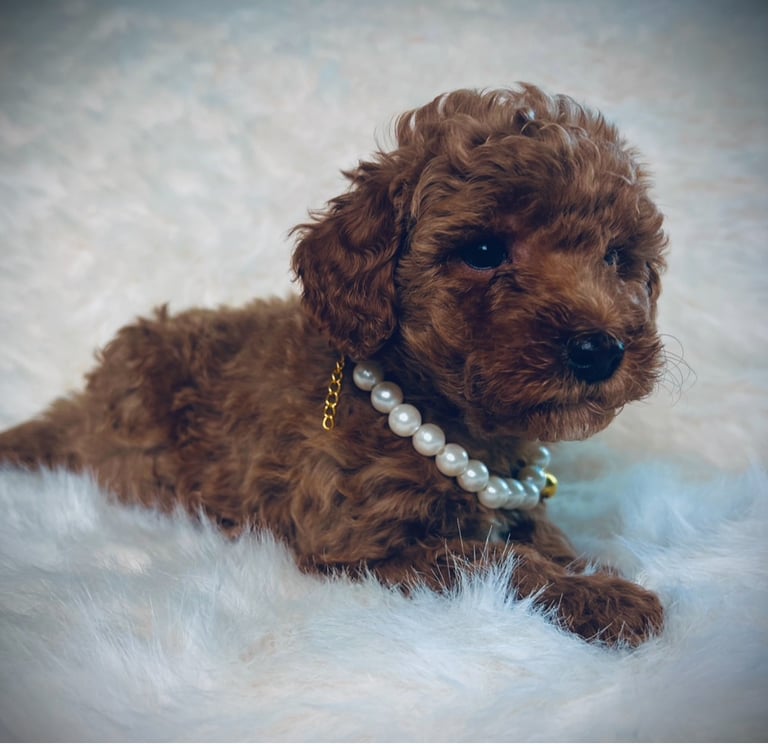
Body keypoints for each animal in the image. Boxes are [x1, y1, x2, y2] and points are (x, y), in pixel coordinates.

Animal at [0, 84, 667, 646]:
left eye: (617, 257)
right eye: (482, 251)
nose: (601, 349)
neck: (444, 418)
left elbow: (541, 538)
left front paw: (589, 567)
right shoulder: (364, 542)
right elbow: (497, 559)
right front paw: (608, 598)